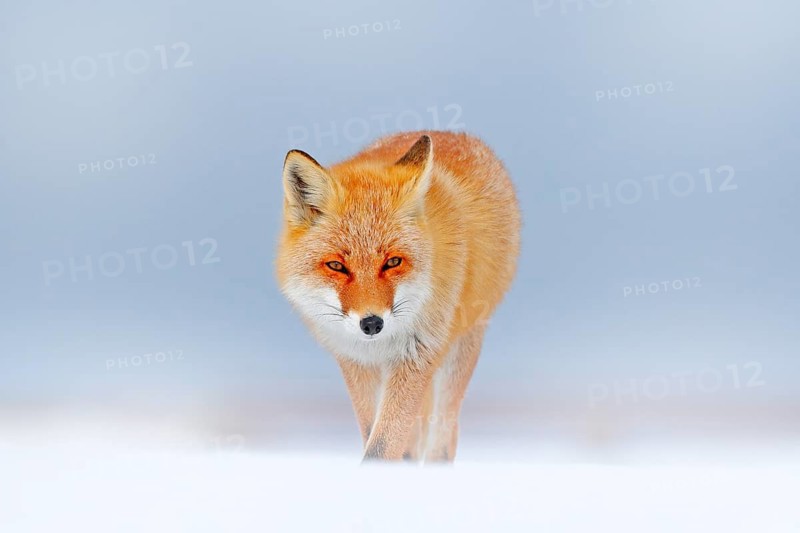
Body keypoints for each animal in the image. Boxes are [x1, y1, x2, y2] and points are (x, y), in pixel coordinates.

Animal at [276, 131, 521, 462]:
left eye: (393, 262)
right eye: (337, 266)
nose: (371, 323)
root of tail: (453, 134)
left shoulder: (417, 355)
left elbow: (381, 446)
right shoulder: (355, 360)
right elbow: (376, 437)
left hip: (462, 347)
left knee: (444, 437)